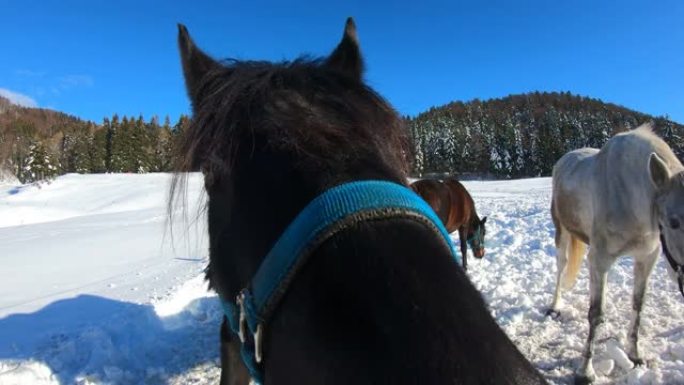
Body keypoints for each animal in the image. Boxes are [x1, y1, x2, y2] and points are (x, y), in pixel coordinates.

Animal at [548, 124, 684, 382]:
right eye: (674, 222)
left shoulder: (646, 259)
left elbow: (638, 305)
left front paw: (634, 355)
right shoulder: (600, 261)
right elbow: (596, 313)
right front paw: (586, 372)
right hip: (562, 231)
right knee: (561, 266)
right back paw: (555, 306)